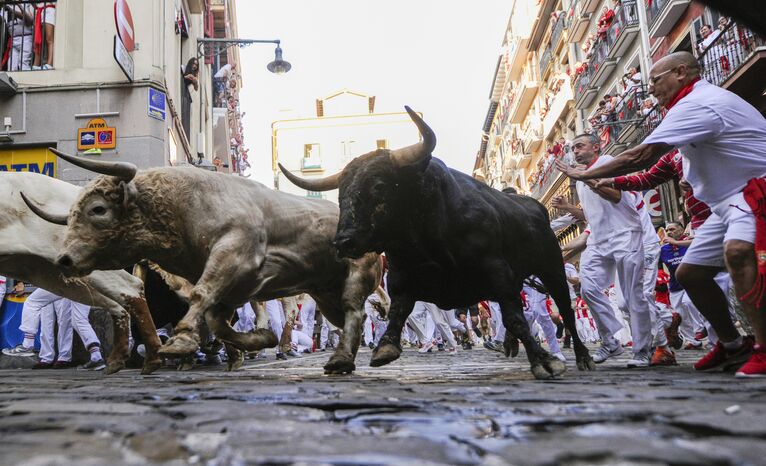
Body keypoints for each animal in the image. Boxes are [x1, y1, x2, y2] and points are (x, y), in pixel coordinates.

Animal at [280, 107, 592, 380]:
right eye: (341, 192)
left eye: (379, 186)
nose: (343, 241)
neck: (427, 235)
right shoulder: (401, 276)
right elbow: (398, 311)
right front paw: (386, 346)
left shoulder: (497, 271)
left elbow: (515, 318)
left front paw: (543, 361)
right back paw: (508, 345)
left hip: (551, 268)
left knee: (564, 310)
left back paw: (582, 356)